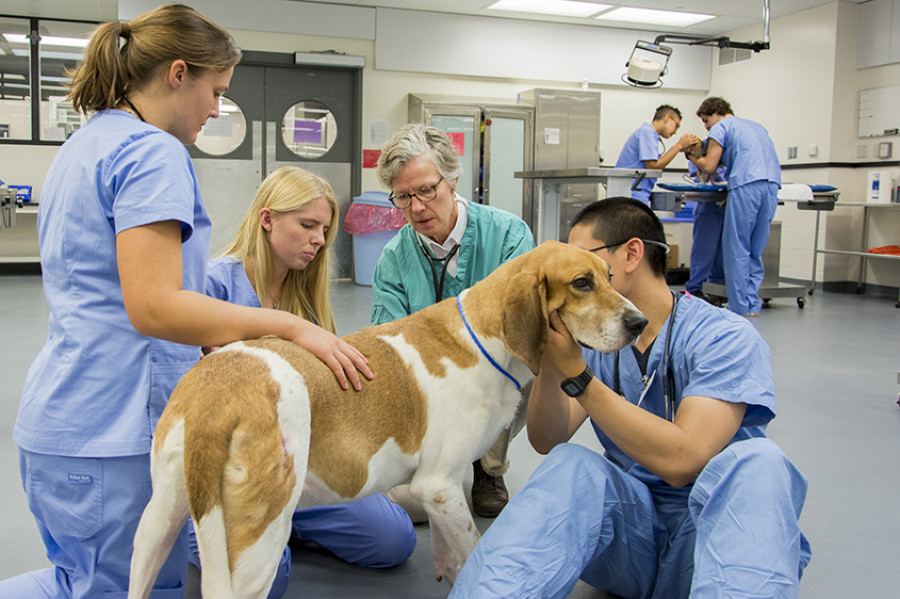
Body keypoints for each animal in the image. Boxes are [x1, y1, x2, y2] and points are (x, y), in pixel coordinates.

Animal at [126, 241, 648, 596]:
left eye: (609, 275)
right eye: (582, 283)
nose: (640, 322)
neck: (486, 337)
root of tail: (218, 392)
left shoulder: (439, 495)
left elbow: (450, 552)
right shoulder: (438, 484)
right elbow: (473, 551)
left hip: (156, 528)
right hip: (258, 547)